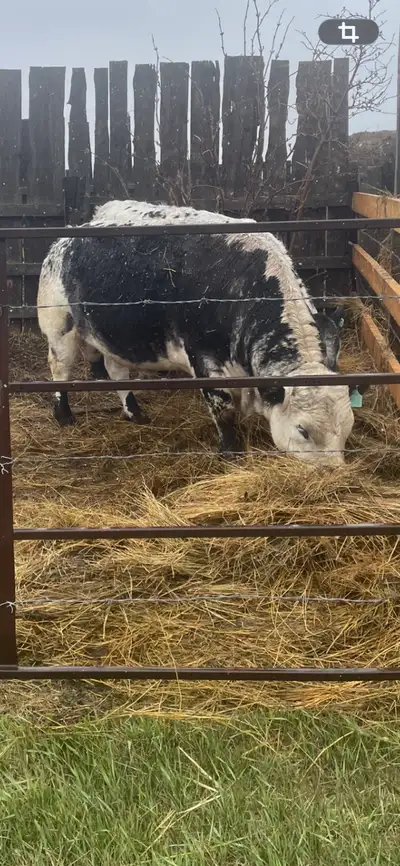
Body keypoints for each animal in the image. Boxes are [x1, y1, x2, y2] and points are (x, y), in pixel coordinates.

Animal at [37, 200, 355, 464]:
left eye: (349, 426)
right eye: (303, 430)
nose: (333, 472)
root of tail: (66, 238)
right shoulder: (204, 359)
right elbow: (223, 408)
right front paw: (231, 453)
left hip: (115, 338)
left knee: (116, 372)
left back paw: (135, 412)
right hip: (59, 328)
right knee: (60, 370)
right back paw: (64, 415)